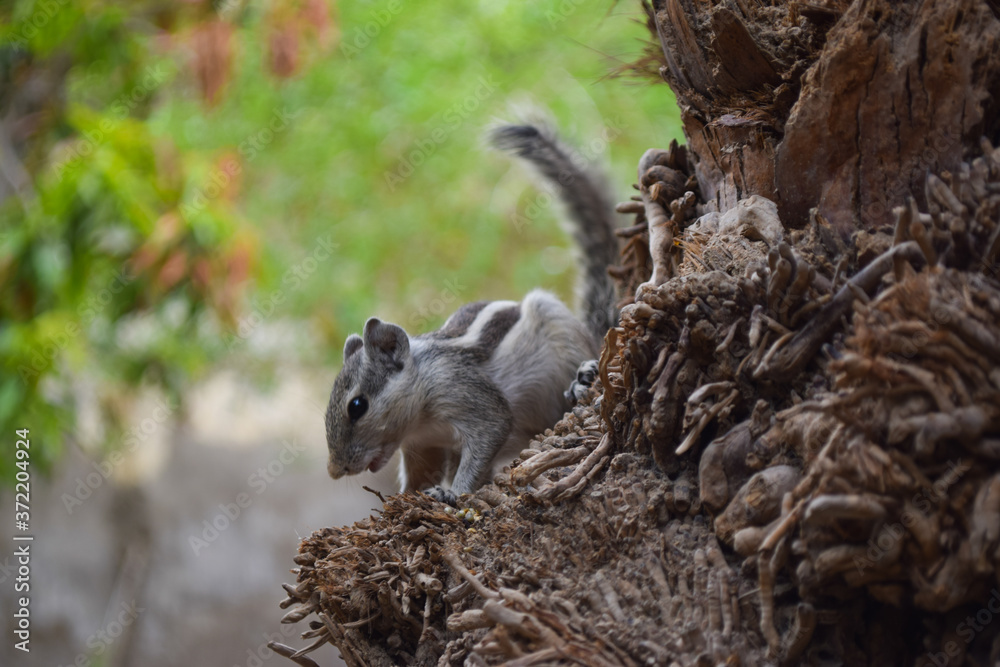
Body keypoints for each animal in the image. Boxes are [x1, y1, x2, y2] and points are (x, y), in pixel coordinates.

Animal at [324, 123, 620, 504]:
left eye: (357, 406)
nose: (334, 470)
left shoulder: (469, 396)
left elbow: (488, 437)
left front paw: (453, 495)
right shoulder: (421, 446)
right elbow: (420, 475)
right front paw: (409, 497)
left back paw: (582, 379)